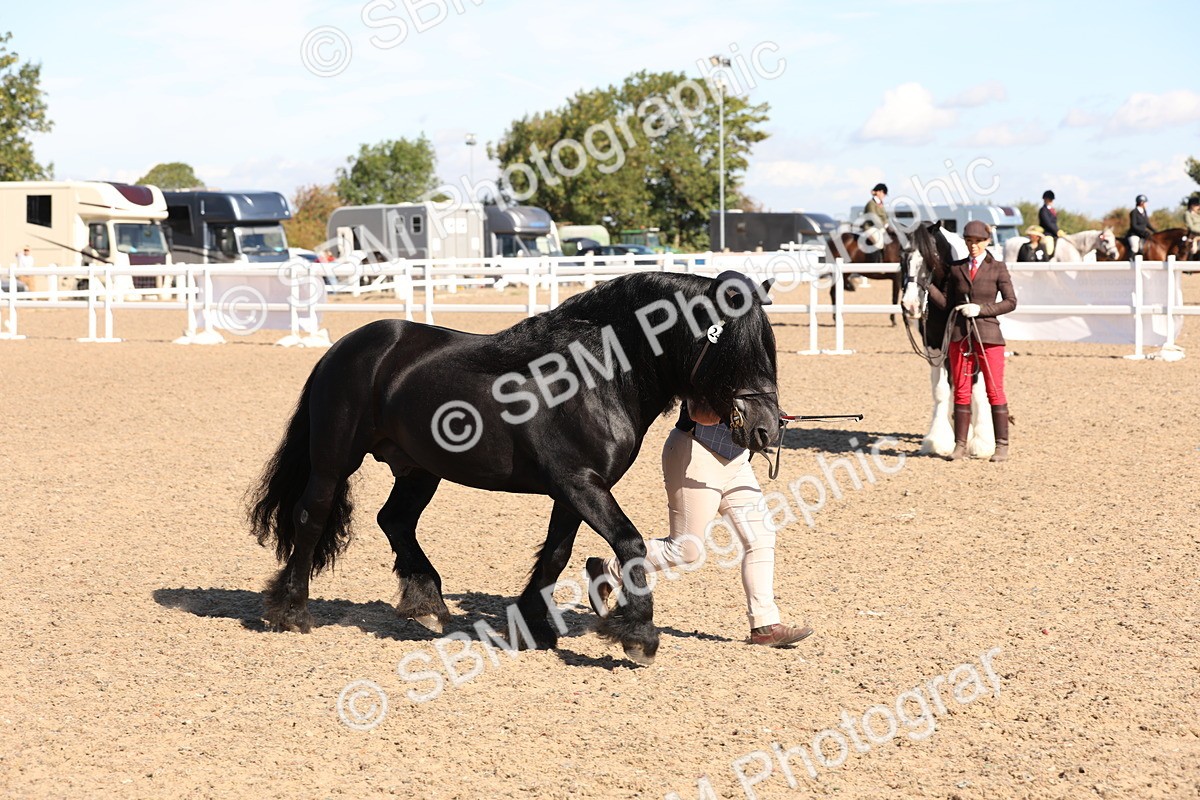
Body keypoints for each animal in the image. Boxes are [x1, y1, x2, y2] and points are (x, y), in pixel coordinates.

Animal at [247, 271, 782, 665]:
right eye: (732, 349)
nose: (766, 430)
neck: (597, 375)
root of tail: (345, 348)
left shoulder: (575, 490)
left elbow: (556, 555)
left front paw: (533, 627)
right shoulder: (579, 483)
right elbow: (628, 544)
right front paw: (639, 634)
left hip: (420, 469)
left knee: (394, 520)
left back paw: (427, 605)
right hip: (334, 460)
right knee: (311, 517)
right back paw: (292, 611)